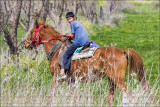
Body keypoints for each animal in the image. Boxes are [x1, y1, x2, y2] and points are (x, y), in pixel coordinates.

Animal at [24, 19, 153, 106]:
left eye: (32, 31)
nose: (25, 43)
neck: (56, 50)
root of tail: (123, 50)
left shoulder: (57, 79)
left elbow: (51, 96)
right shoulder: (70, 81)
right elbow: (75, 97)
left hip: (118, 79)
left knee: (130, 95)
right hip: (112, 79)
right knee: (111, 97)